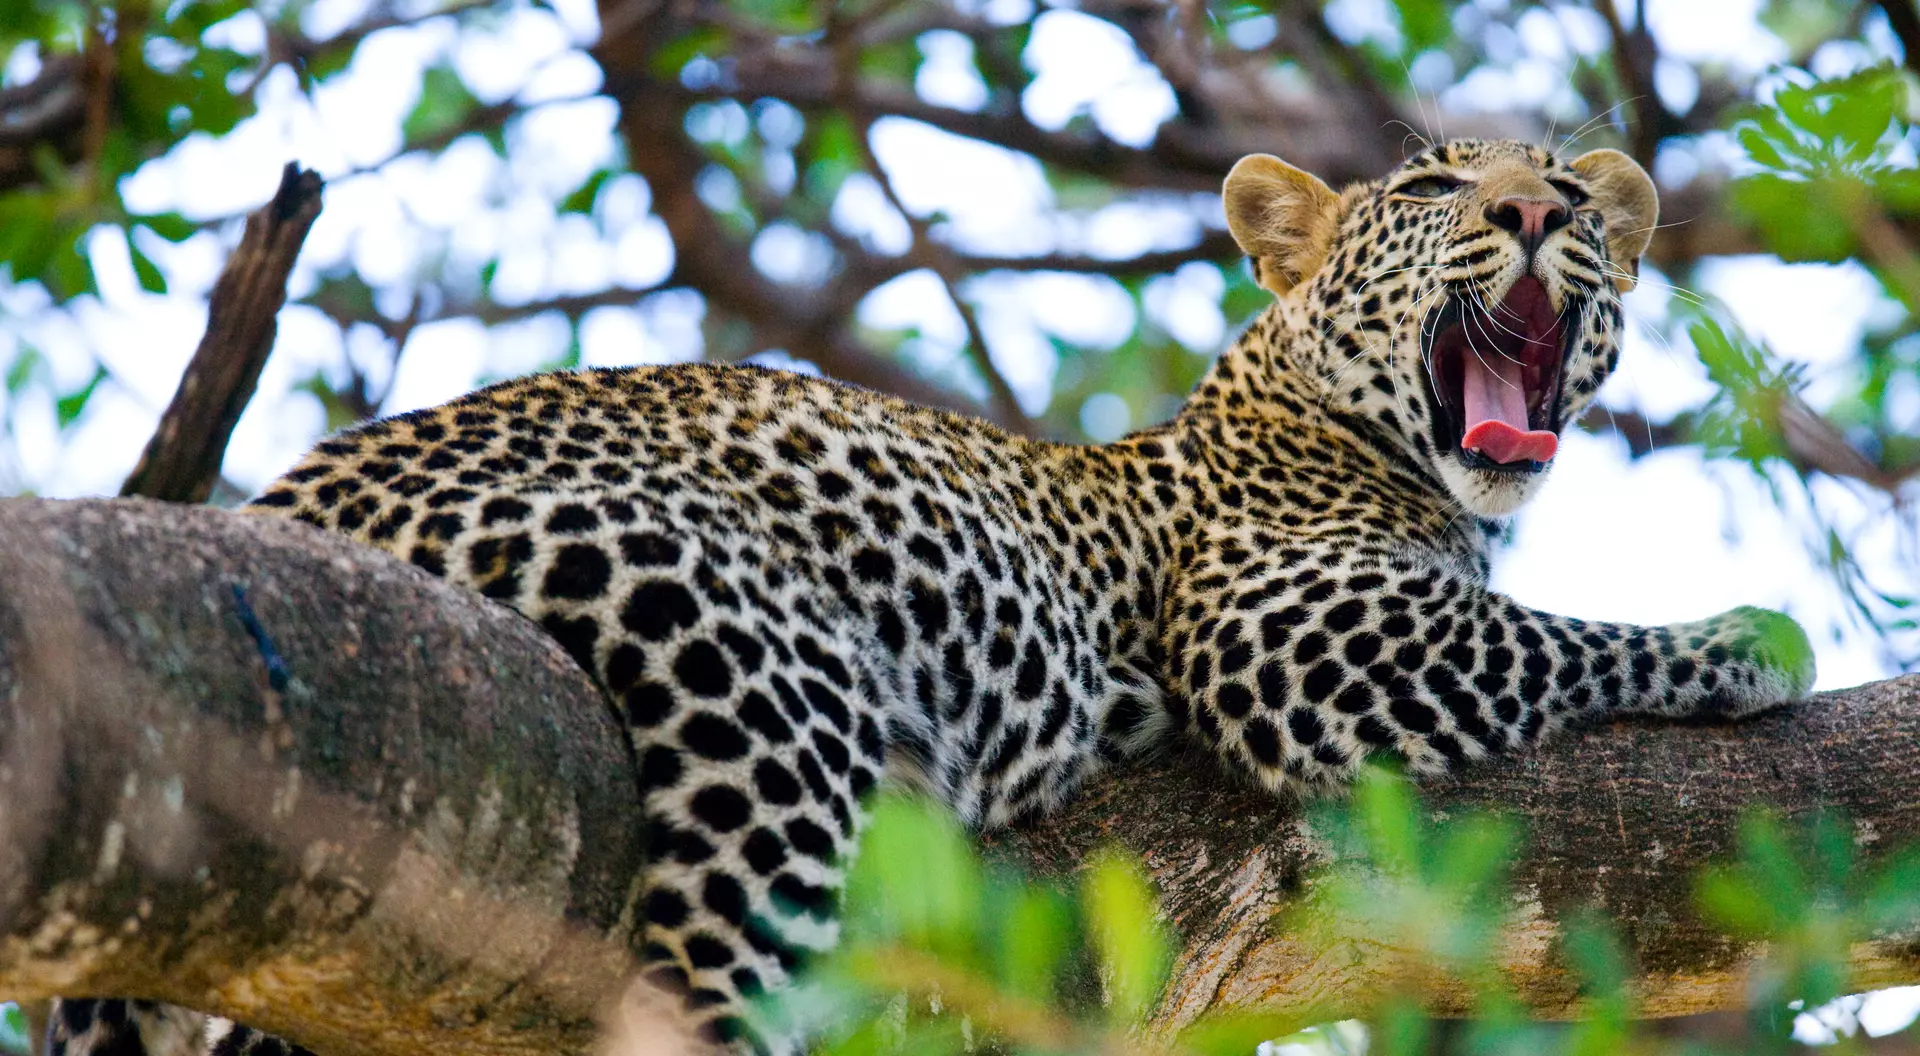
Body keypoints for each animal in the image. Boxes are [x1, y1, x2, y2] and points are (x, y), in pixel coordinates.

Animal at [48, 138, 1815, 1056]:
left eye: (1571, 195)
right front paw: (1750, 637)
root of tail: (284, 500)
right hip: (750, 688)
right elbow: (1550, 634)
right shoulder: (1285, 630)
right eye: (1440, 183)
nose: (1539, 210)